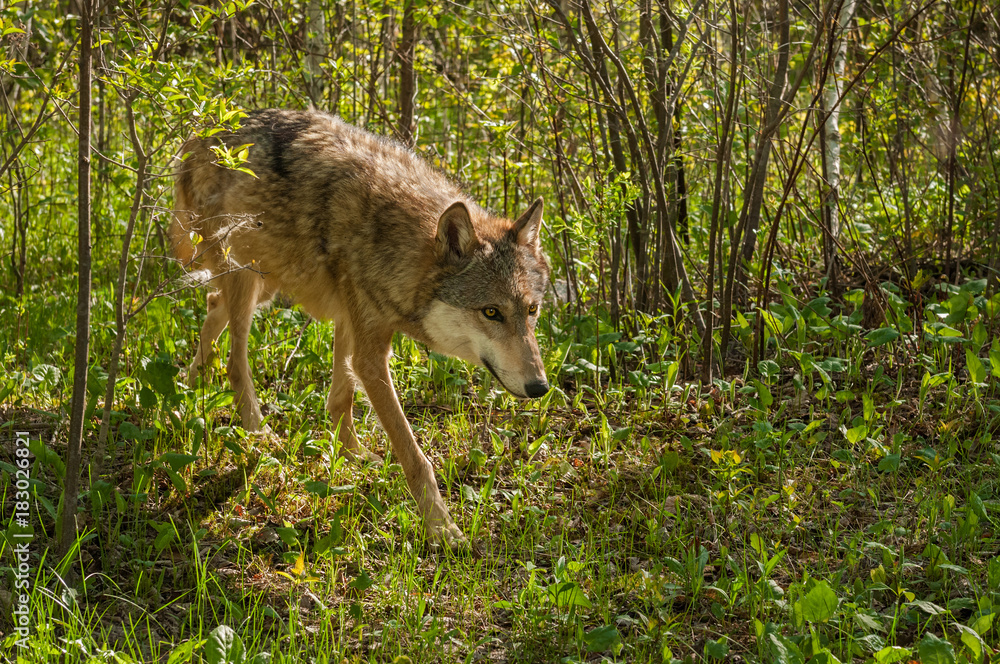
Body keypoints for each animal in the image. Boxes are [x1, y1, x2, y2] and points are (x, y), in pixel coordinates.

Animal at [170, 109, 550, 545]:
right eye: (491, 313)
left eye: (532, 310)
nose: (540, 387)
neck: (394, 242)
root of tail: (198, 134)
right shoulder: (370, 354)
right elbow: (414, 456)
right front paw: (441, 527)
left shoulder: (351, 325)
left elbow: (340, 401)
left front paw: (353, 459)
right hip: (248, 280)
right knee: (235, 362)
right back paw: (258, 434)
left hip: (264, 286)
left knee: (213, 308)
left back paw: (184, 391)